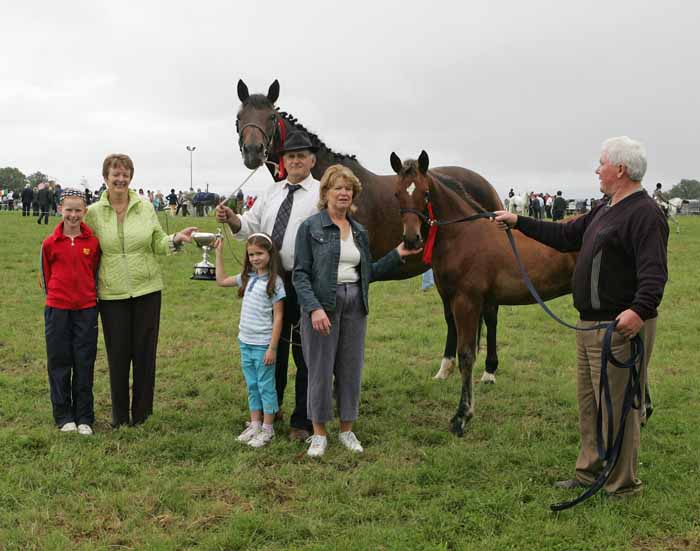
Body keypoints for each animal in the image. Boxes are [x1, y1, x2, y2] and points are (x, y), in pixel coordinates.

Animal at [235, 80, 504, 384]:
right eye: (240, 117)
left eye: (270, 116)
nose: (253, 151)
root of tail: (485, 185)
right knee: (451, 317)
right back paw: (445, 367)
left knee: (491, 314)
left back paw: (489, 370)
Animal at [392, 152, 576, 436]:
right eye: (397, 193)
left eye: (425, 194)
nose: (411, 240)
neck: (463, 236)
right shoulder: (456, 300)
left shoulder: (466, 302)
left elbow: (466, 355)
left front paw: (462, 416)